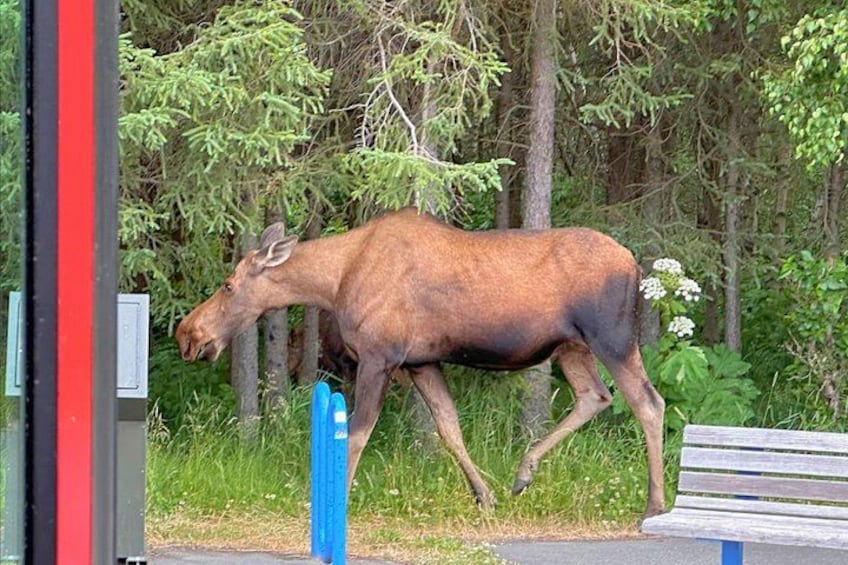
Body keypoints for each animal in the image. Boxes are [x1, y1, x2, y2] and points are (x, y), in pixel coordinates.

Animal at [176, 208, 666, 518]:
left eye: (228, 285)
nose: (188, 334)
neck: (334, 283)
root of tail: (635, 265)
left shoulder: (378, 357)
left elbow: (357, 434)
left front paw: (336, 499)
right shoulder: (420, 363)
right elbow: (449, 428)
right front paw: (484, 497)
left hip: (612, 338)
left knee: (648, 402)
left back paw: (654, 503)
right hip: (570, 348)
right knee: (594, 396)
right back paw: (523, 472)